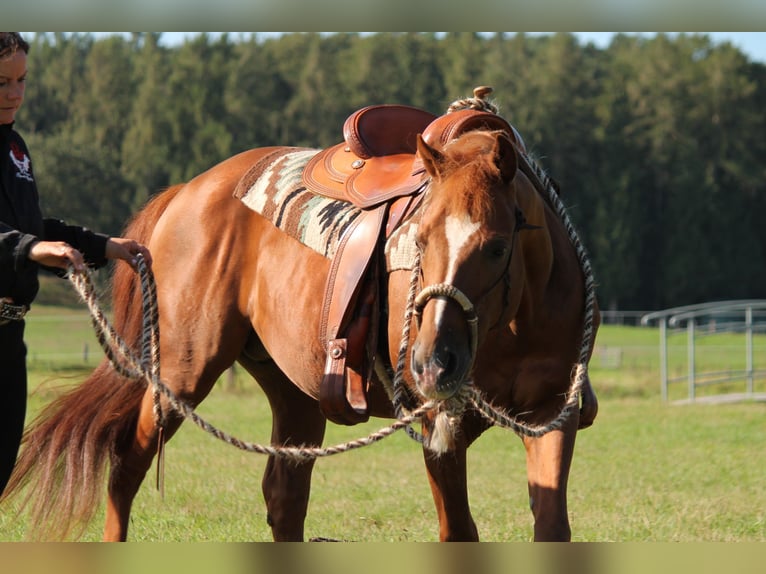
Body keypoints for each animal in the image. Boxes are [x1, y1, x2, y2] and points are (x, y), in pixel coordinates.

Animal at [3, 95, 604, 544]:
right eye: (419, 238)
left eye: (497, 247)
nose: (432, 365)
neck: (514, 324)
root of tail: (186, 192)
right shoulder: (440, 425)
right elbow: (459, 531)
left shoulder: (552, 415)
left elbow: (552, 526)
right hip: (181, 372)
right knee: (128, 463)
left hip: (295, 392)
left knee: (284, 498)